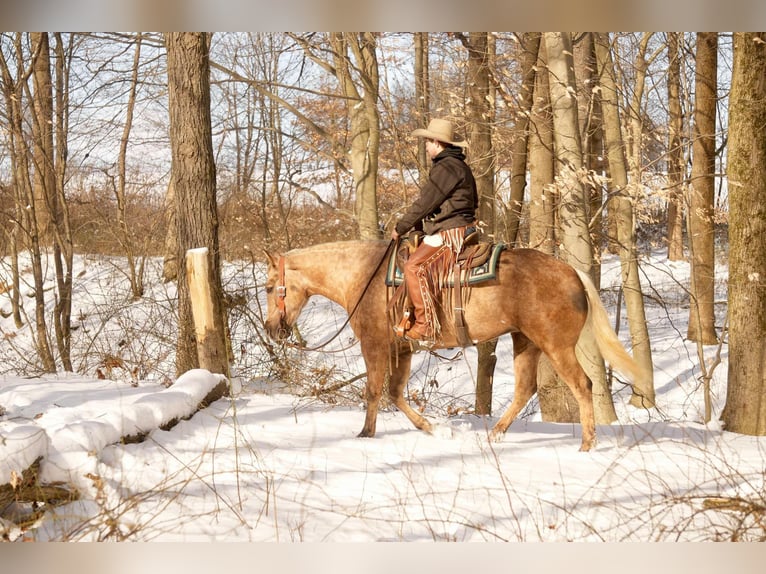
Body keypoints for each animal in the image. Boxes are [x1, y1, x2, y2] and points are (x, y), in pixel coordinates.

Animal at [264, 241, 648, 452]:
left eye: (269, 287)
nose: (271, 329)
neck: (365, 277)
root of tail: (571, 273)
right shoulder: (402, 349)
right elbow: (395, 393)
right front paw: (432, 428)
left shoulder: (374, 344)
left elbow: (373, 390)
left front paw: (365, 434)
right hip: (525, 341)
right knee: (525, 388)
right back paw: (494, 435)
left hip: (555, 345)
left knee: (583, 385)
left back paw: (586, 444)